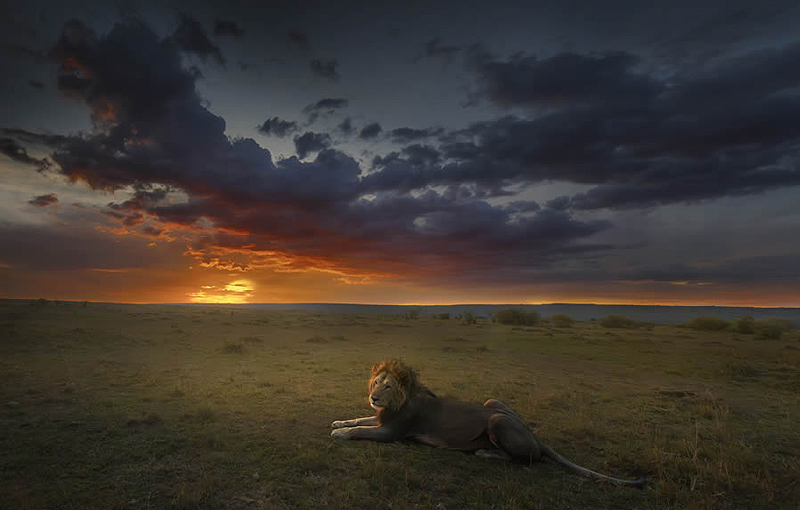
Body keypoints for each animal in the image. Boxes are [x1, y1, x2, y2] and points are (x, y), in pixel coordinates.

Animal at [331, 359, 645, 488]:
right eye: (376, 383)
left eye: (387, 386)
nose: (373, 397)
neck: (396, 403)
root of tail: (536, 436)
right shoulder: (381, 418)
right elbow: (359, 418)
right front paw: (338, 421)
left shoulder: (393, 432)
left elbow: (361, 429)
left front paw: (341, 433)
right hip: (492, 402)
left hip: (496, 419)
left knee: (527, 460)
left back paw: (485, 453)